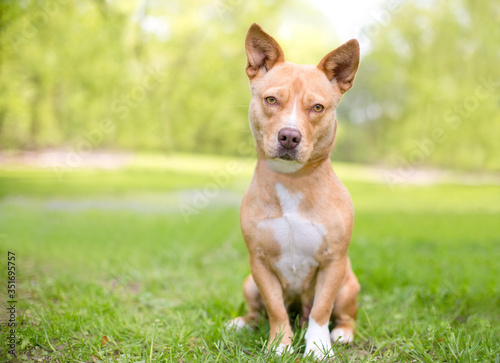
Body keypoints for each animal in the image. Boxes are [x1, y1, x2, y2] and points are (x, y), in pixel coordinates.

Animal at [229, 23, 362, 362]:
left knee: (342, 314)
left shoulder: (333, 262)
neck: (292, 182)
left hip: (349, 285)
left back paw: (341, 333)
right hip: (249, 284)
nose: (289, 136)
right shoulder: (259, 262)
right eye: (271, 100)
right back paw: (243, 323)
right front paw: (280, 344)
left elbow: (321, 310)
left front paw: (317, 346)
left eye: (317, 107)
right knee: (260, 311)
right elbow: (275, 308)